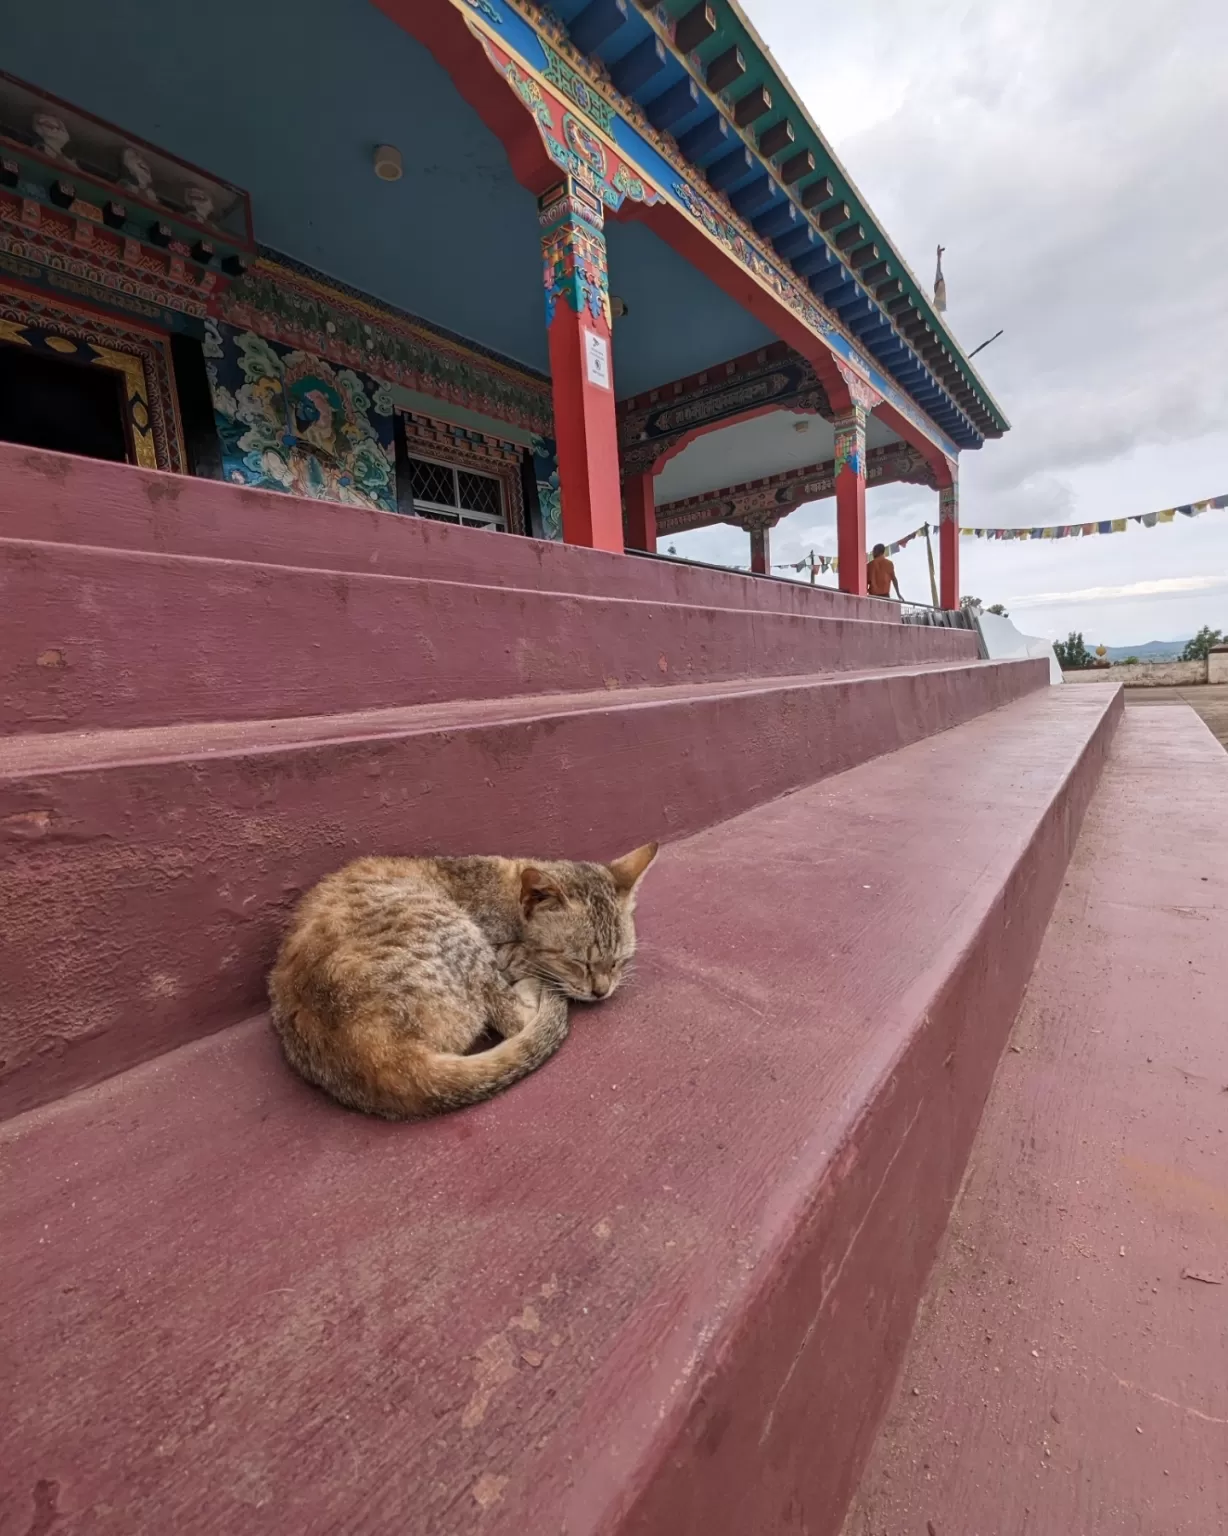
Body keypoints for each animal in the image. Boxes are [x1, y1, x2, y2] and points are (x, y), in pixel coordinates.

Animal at [265, 847, 657, 1124]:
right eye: (578, 962)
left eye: (618, 961)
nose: (602, 991)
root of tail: (377, 1057)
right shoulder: (502, 948)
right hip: (456, 931)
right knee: (515, 1017)